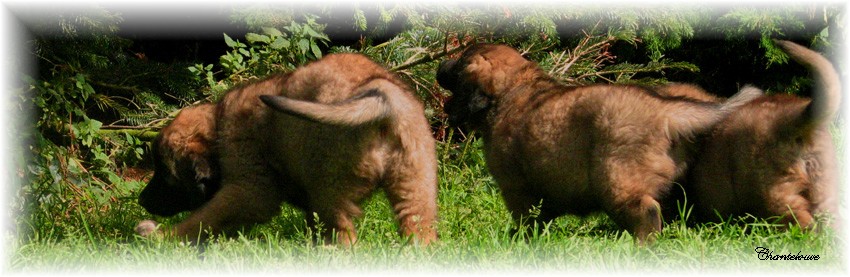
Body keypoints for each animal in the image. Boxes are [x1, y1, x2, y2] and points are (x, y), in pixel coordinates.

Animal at [438, 43, 756, 242]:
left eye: (460, 64)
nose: (442, 62)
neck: (512, 90)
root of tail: (664, 111)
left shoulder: (516, 188)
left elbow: (527, 220)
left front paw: (519, 241)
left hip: (616, 178)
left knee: (646, 213)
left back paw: (640, 246)